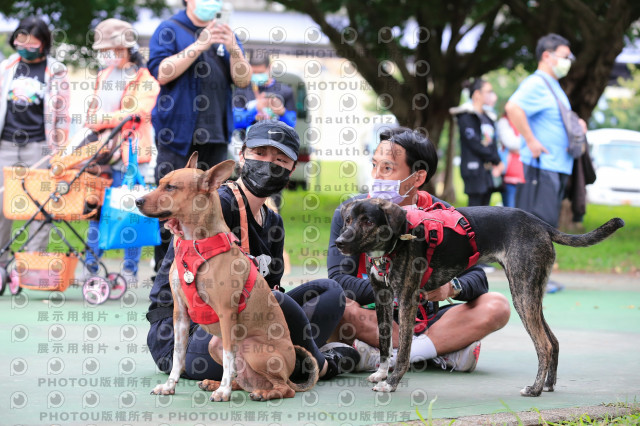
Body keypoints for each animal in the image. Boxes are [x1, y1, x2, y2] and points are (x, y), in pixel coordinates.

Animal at [136, 154, 316, 402]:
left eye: (171, 187)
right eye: (160, 182)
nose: (137, 201)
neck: (195, 245)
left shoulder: (226, 313)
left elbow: (229, 358)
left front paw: (224, 391)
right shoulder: (180, 314)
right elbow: (178, 355)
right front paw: (170, 385)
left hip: (253, 349)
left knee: (283, 388)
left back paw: (261, 393)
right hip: (214, 345)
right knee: (243, 379)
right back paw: (217, 383)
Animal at [336, 199, 624, 396]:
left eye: (368, 221)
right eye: (348, 220)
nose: (339, 242)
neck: (396, 241)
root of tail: (540, 223)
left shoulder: (407, 299)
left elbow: (404, 350)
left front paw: (392, 383)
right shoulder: (382, 297)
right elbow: (385, 342)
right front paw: (381, 373)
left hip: (522, 293)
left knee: (544, 345)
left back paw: (534, 389)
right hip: (532, 293)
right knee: (553, 340)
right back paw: (548, 385)